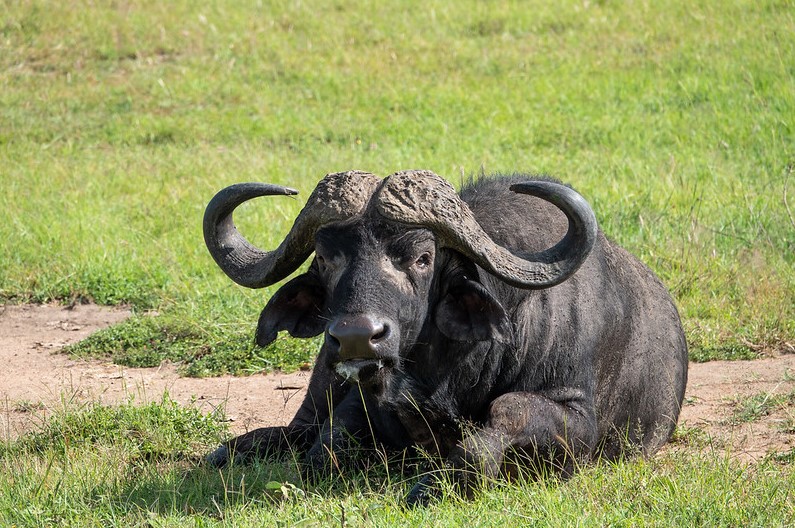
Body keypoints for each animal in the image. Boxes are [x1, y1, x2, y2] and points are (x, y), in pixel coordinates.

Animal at [202, 170, 688, 505]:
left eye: (422, 258)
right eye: (325, 257)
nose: (357, 337)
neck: (451, 372)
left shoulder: (579, 422)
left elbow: (501, 419)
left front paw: (431, 485)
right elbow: (327, 448)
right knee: (298, 429)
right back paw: (233, 450)